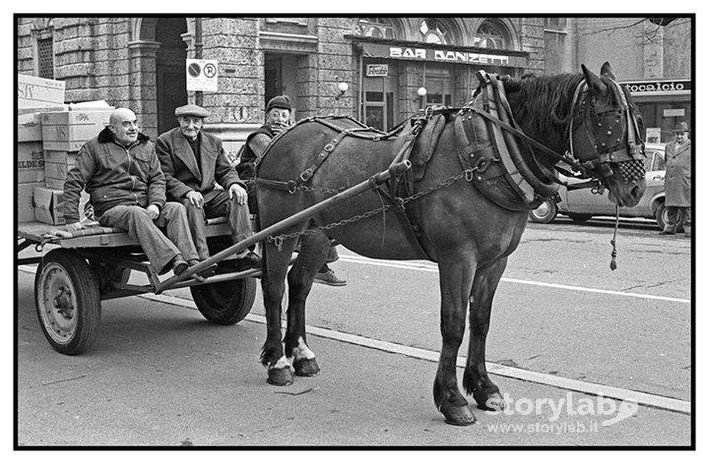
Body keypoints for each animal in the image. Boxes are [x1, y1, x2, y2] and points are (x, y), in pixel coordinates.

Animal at [252, 63, 644, 426]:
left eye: (638, 118)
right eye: (607, 117)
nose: (636, 188)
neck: (488, 153)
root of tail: (282, 136)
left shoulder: (494, 261)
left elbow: (481, 320)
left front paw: (484, 388)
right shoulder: (458, 258)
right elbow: (453, 325)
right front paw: (452, 399)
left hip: (317, 232)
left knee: (299, 285)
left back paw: (302, 354)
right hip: (280, 231)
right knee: (274, 286)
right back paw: (278, 361)